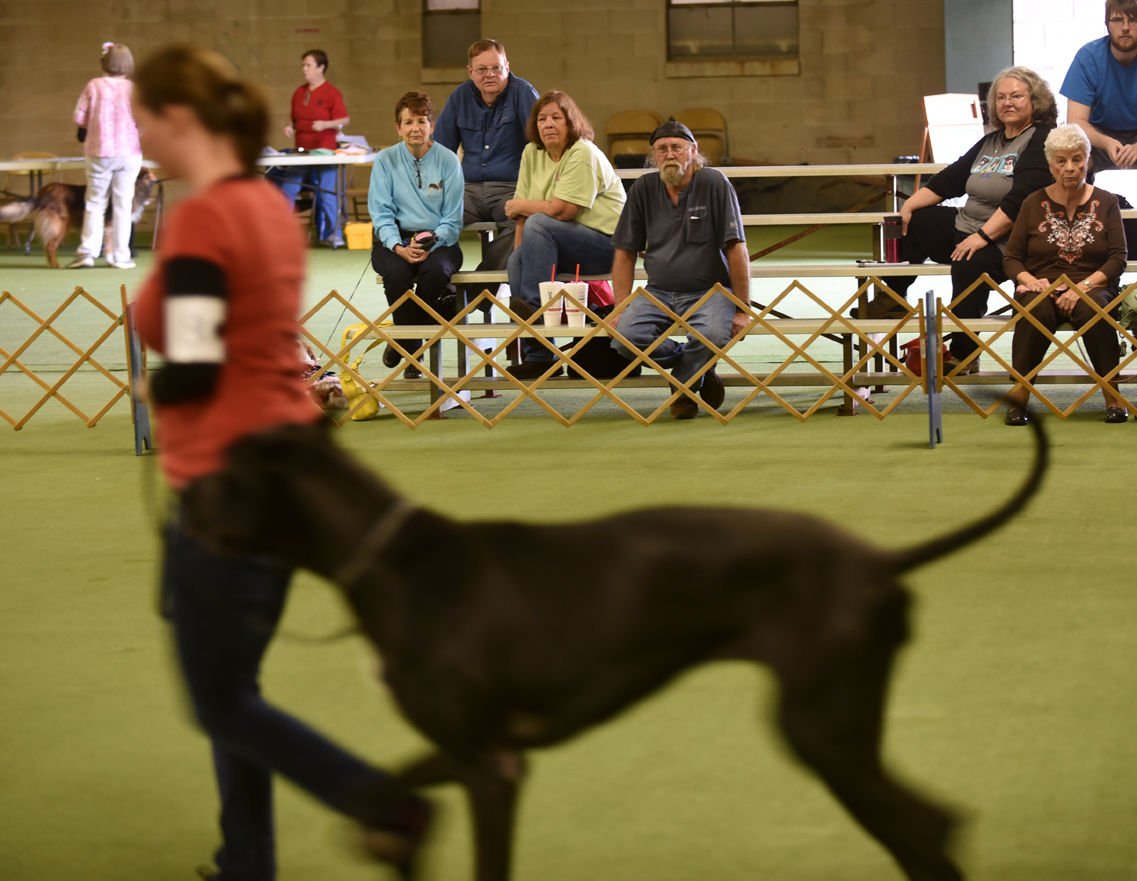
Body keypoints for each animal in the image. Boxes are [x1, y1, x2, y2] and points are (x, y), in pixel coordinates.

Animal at [0, 169, 158, 268]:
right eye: (149, 174)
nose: (157, 179)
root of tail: (44, 191)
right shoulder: (110, 226)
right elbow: (109, 247)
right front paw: (112, 261)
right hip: (60, 225)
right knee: (50, 246)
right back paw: (56, 266)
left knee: (48, 247)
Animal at [179, 416, 1046, 881]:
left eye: (226, 472)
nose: (181, 505)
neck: (387, 559)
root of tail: (878, 560)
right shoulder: (466, 746)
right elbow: (377, 790)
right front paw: (395, 834)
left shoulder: (491, 765)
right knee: (930, 824)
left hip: (823, 728)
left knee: (923, 828)